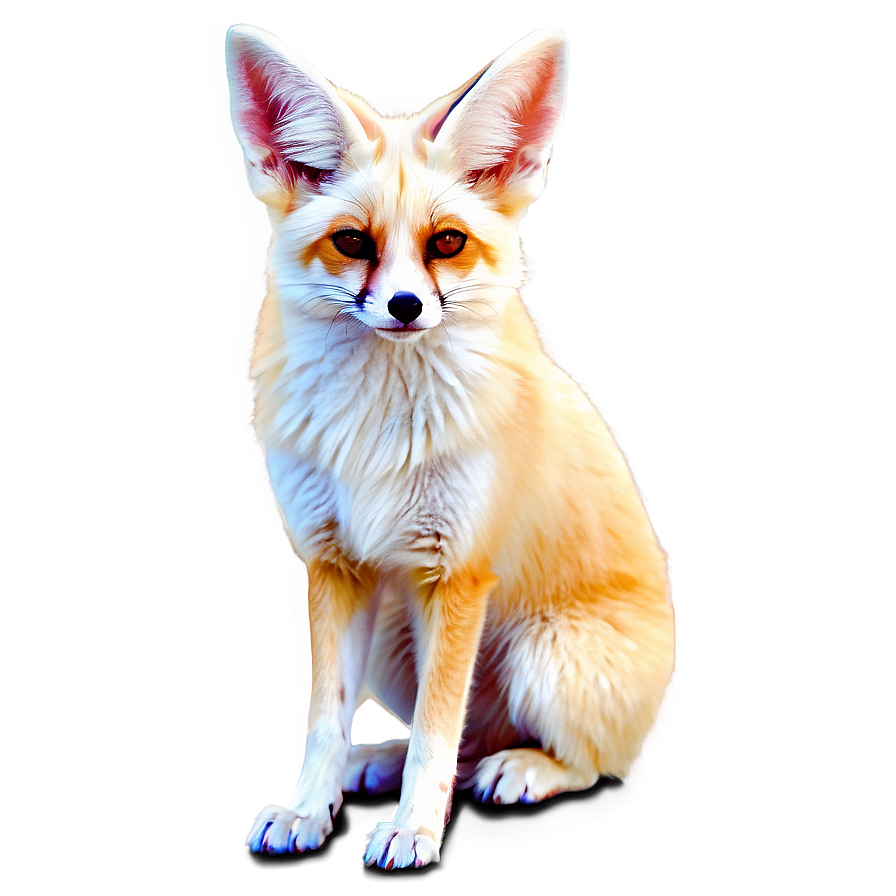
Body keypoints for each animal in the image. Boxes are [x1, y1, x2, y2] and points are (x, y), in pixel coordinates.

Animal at [224, 23, 675, 872]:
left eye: (447, 243)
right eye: (352, 242)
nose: (405, 306)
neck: (372, 433)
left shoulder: (457, 573)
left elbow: (436, 736)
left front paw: (412, 834)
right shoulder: (334, 563)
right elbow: (328, 723)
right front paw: (307, 811)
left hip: (543, 658)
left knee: (588, 763)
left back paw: (525, 769)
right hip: (397, 640)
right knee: (469, 742)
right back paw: (379, 765)